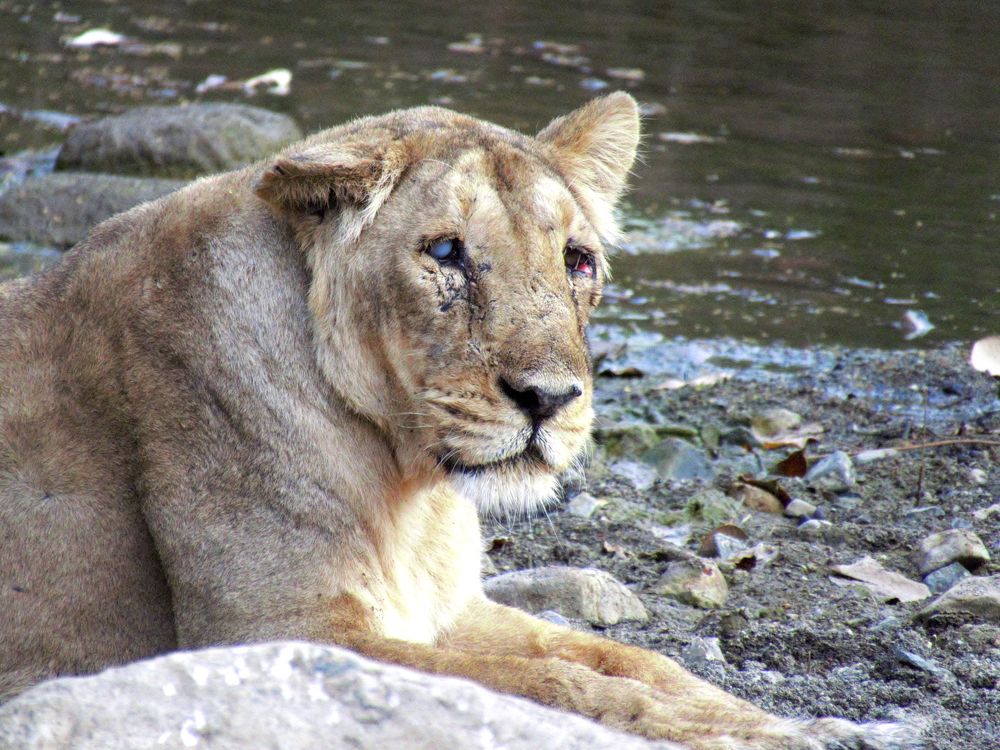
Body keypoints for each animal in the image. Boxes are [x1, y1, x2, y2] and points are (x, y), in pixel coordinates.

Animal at [0, 94, 917, 749]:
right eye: (446, 253)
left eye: (577, 261)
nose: (549, 398)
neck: (408, 483)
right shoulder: (265, 636)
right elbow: (553, 689)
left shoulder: (448, 610)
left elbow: (621, 656)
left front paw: (802, 722)